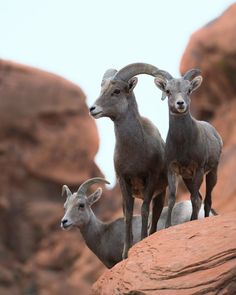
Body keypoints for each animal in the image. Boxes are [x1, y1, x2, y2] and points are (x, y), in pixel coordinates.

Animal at [89, 63, 167, 260]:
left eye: (116, 91)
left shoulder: (150, 179)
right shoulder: (123, 181)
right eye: (102, 89)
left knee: (154, 219)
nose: (92, 109)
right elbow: (129, 214)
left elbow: (144, 210)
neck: (134, 151)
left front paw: (142, 240)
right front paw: (125, 253)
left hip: (161, 195)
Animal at [154, 69, 222, 229]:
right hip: (188, 178)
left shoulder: (198, 169)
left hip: (212, 173)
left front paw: (194, 220)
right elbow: (172, 198)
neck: (182, 144)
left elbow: (195, 199)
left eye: (189, 90)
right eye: (168, 91)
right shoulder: (173, 170)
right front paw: (168, 226)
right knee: (200, 197)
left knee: (207, 199)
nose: (180, 103)